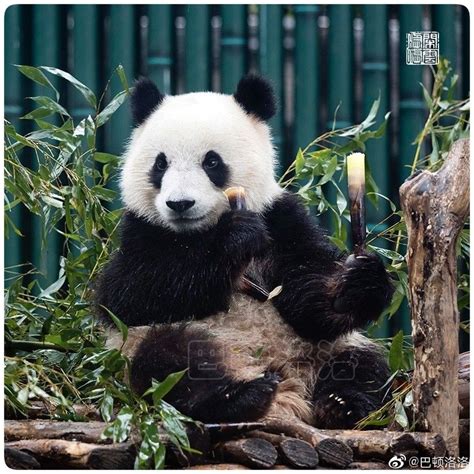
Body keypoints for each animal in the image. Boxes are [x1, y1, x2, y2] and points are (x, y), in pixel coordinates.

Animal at [95, 74, 392, 430]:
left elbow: (309, 299)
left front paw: (360, 282)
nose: (179, 204)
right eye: (161, 163)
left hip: (323, 351)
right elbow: (128, 294)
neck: (198, 231)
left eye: (211, 161)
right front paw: (235, 239)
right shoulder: (141, 230)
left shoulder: (281, 219)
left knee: (361, 366)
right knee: (170, 363)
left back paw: (342, 405)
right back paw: (240, 398)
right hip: (151, 346)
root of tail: (287, 386)